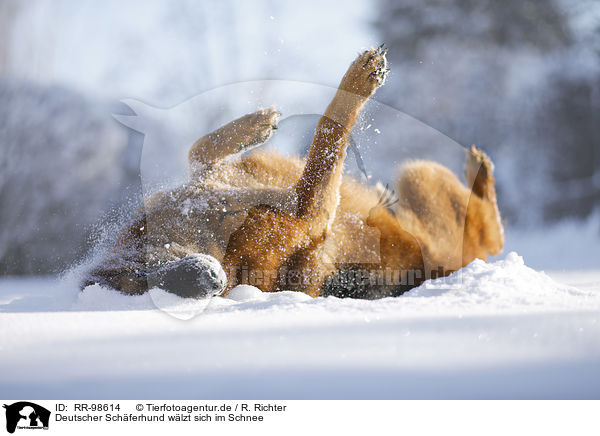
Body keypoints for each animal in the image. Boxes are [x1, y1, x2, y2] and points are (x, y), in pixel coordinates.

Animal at [84, 47, 504, 300]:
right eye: (160, 290)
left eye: (151, 280)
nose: (213, 282)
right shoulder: (309, 209)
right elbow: (327, 135)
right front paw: (358, 80)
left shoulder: (211, 180)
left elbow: (199, 150)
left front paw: (255, 124)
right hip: (420, 178)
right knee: (492, 231)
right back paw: (480, 172)